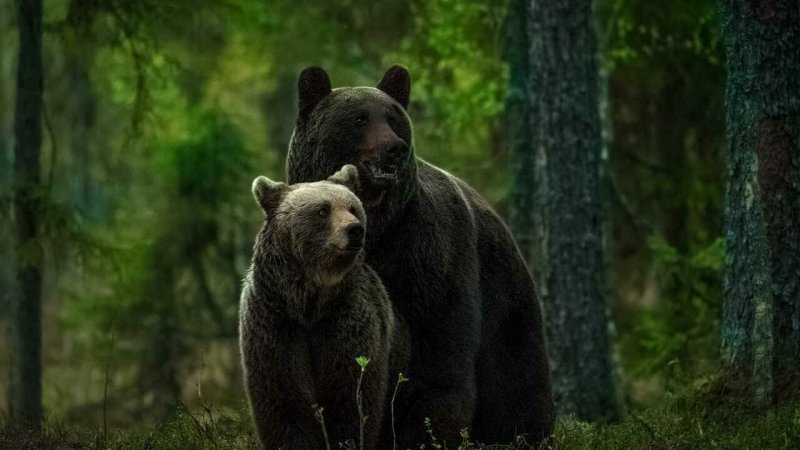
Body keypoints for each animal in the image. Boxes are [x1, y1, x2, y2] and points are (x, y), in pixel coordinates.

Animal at [239, 164, 409, 449]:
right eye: (322, 210)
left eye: (352, 207)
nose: (355, 230)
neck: (309, 303)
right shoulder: (275, 323)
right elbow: (283, 401)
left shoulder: (348, 319)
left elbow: (351, 397)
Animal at [286, 66, 555, 447]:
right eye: (359, 118)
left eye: (394, 118)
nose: (394, 149)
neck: (379, 226)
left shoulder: (427, 254)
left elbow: (438, 361)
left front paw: (428, 433)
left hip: (505, 298)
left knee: (515, 374)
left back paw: (522, 433)